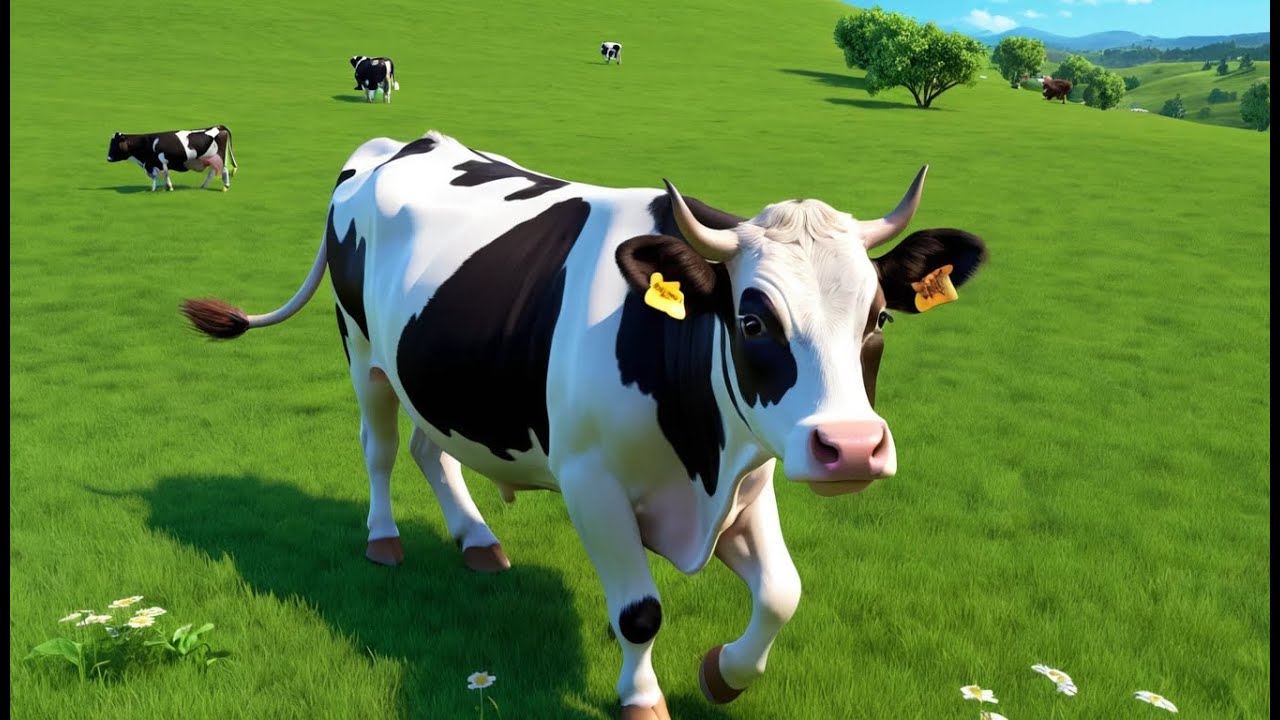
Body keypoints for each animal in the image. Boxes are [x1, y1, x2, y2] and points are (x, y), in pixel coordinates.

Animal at [106, 126, 238, 192]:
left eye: (116, 144)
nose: (108, 158)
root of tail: (220, 127)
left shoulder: (158, 162)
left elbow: (162, 174)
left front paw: (165, 188)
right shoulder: (153, 163)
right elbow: (160, 175)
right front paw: (159, 188)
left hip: (220, 157)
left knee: (224, 170)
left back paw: (225, 188)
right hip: (211, 159)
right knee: (212, 172)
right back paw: (203, 187)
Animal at [179, 130, 987, 720]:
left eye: (877, 319)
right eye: (753, 321)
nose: (850, 448)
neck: (702, 463)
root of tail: (395, 143)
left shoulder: (748, 482)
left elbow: (782, 594)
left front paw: (723, 675)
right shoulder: (590, 482)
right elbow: (640, 612)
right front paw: (642, 698)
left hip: (439, 374)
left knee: (430, 448)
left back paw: (477, 540)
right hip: (364, 354)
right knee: (378, 448)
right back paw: (384, 540)